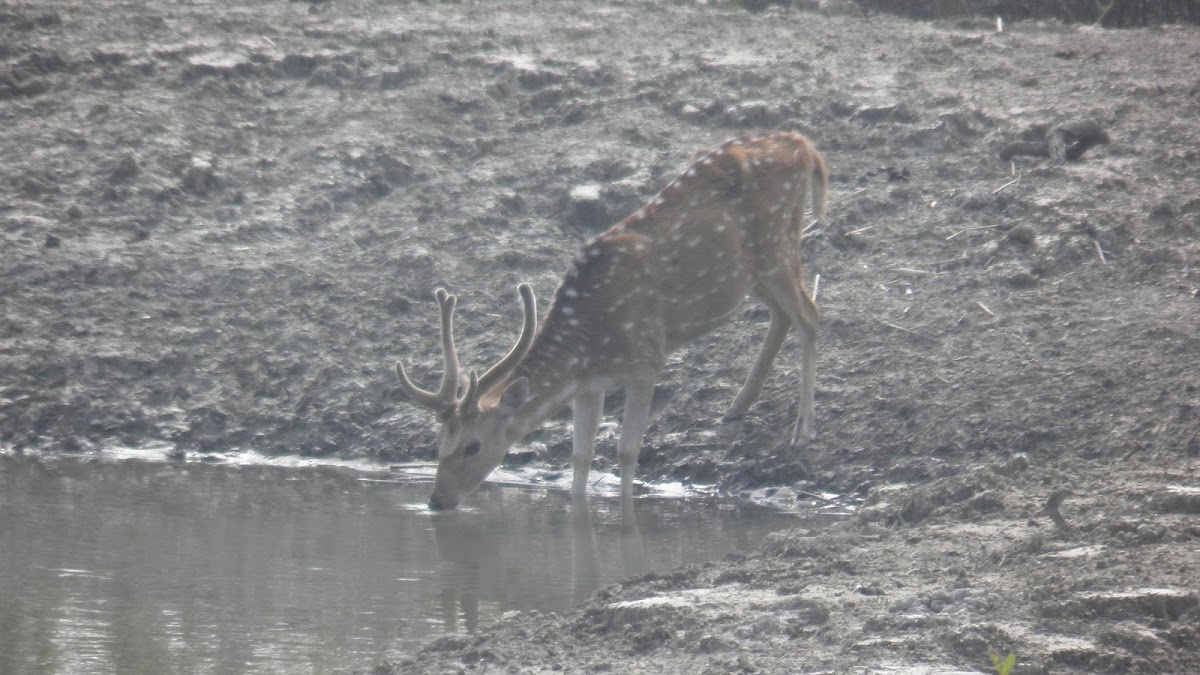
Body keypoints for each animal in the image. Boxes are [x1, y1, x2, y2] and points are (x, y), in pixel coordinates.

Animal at [396, 132, 825, 509]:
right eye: (437, 444)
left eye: (473, 445)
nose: (436, 501)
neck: (588, 338)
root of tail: (803, 145)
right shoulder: (589, 385)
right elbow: (580, 457)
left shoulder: (646, 359)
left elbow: (626, 451)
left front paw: (624, 515)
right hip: (752, 274)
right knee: (782, 315)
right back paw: (737, 406)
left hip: (779, 245)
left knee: (809, 315)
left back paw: (803, 430)